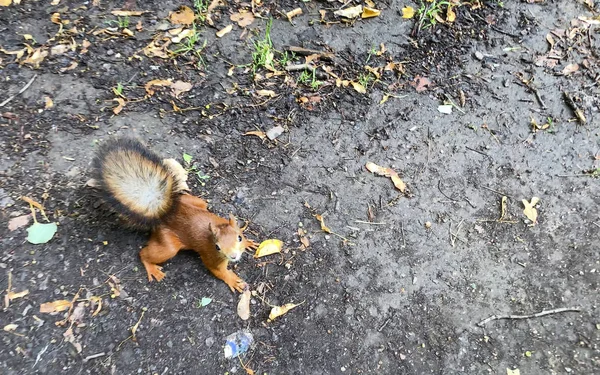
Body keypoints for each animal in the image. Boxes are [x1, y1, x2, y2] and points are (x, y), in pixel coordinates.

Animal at [92, 138, 256, 294]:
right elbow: (218, 270)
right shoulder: (211, 256)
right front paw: (232, 280)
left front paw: (248, 242)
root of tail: (165, 213)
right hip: (168, 243)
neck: (217, 226)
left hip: (197, 202)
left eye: (239, 238)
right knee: (144, 253)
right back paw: (151, 267)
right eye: (217, 247)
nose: (233, 256)